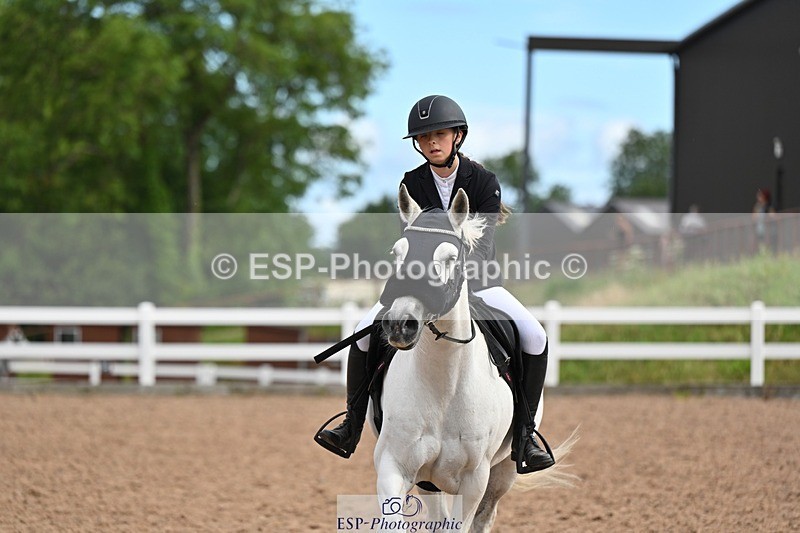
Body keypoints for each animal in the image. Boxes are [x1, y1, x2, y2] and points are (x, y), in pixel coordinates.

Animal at [370, 184, 577, 531]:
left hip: (502, 472)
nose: (400, 324)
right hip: (429, 481)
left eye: (451, 258)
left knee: (485, 516)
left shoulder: (474, 481)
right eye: (397, 254)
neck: (443, 384)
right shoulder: (394, 466)